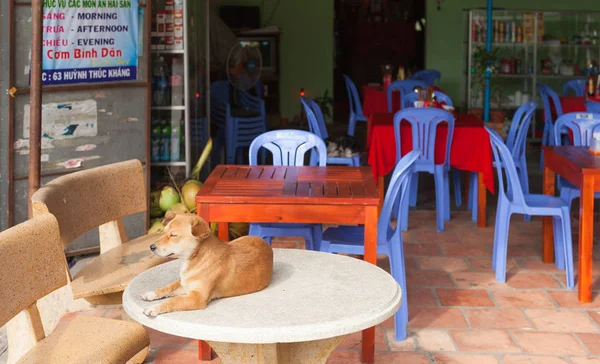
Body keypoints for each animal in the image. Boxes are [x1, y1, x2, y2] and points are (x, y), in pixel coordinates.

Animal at [141, 212, 272, 318]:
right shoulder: (184, 284)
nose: (151, 247)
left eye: (173, 235)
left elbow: (174, 300)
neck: (194, 259)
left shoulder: (197, 297)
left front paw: (154, 308)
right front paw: (152, 293)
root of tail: (264, 242)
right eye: (163, 232)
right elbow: (169, 287)